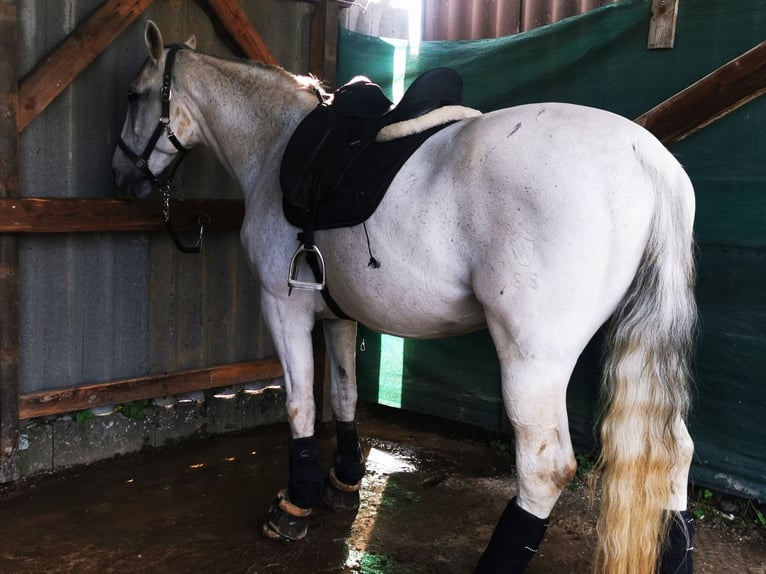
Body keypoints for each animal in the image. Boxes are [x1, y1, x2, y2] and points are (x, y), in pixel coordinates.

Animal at [115, 22, 704, 574]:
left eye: (134, 95)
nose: (122, 177)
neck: (277, 144)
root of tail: (648, 157)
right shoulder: (338, 315)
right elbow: (345, 396)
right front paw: (344, 482)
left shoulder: (283, 308)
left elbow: (301, 404)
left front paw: (294, 507)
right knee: (675, 454)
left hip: (533, 359)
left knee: (547, 468)